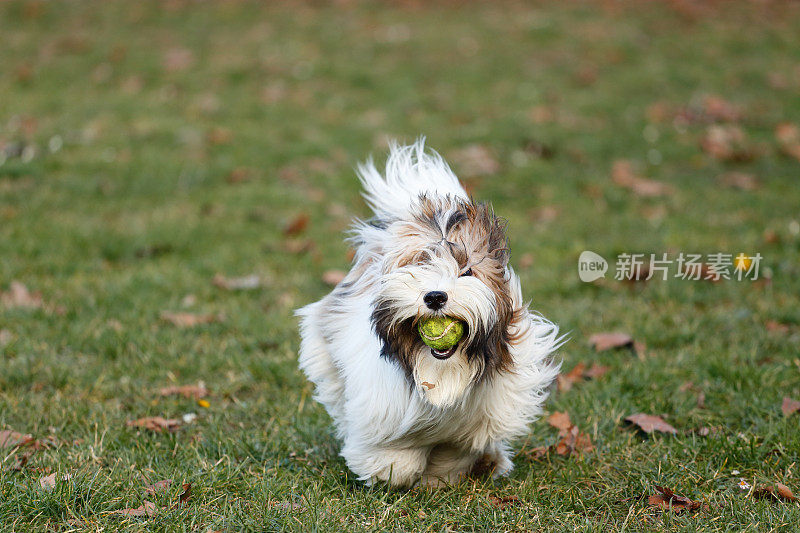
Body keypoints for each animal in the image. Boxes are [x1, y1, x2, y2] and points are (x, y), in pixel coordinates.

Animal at [294, 138, 564, 486]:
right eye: (418, 267)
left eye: (467, 272)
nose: (435, 297)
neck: (442, 373)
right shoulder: (383, 405)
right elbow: (396, 456)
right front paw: (389, 469)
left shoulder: (482, 414)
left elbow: (457, 452)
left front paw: (440, 477)